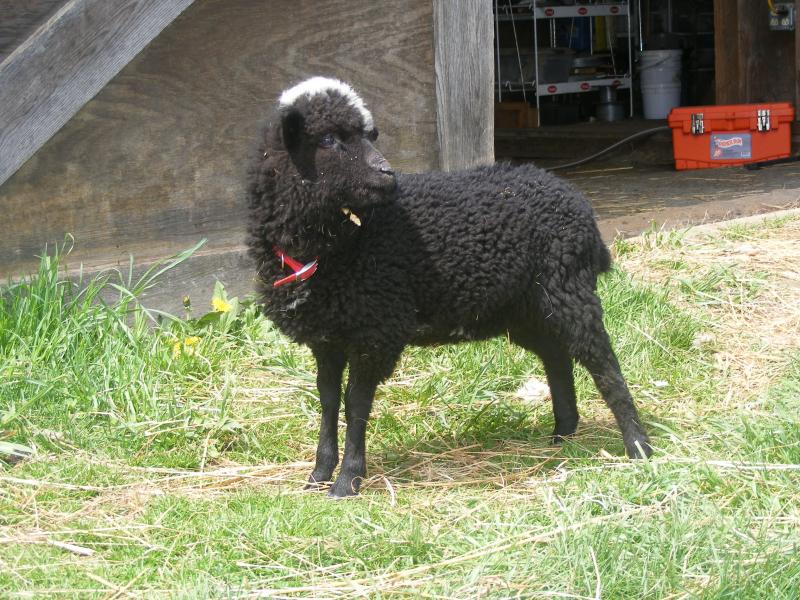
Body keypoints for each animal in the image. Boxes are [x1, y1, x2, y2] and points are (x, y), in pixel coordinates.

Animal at [247, 76, 652, 498]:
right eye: (327, 139)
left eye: (371, 135)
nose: (386, 173)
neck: (334, 244)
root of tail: (577, 201)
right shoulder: (326, 336)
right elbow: (326, 400)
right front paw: (319, 473)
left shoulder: (375, 329)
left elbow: (355, 403)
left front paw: (347, 481)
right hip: (526, 307)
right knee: (556, 356)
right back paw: (563, 434)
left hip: (568, 289)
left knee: (604, 364)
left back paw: (637, 446)